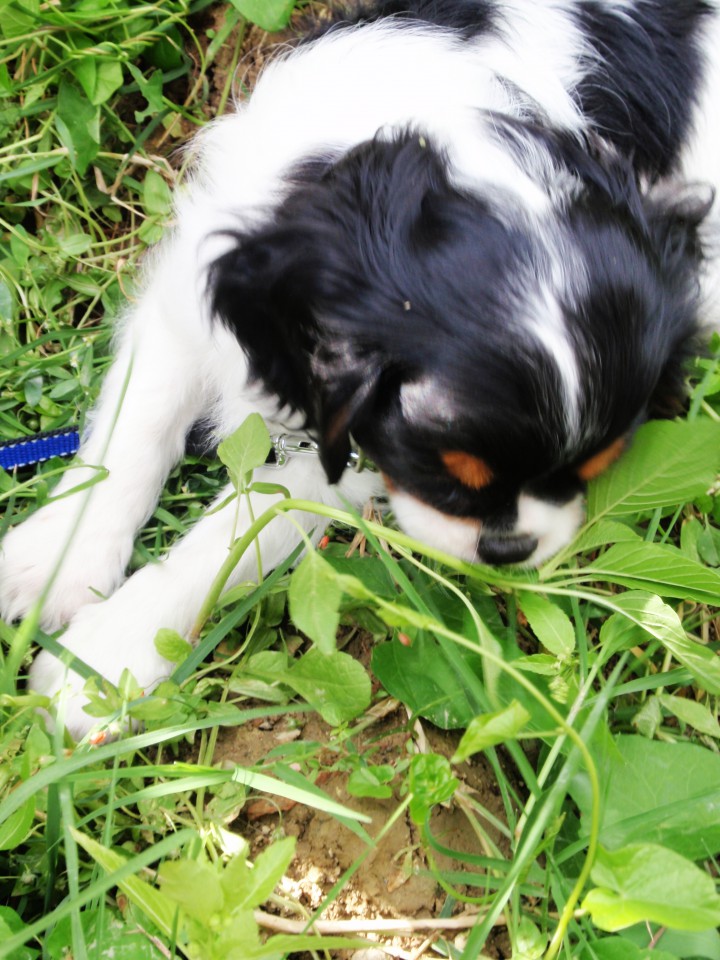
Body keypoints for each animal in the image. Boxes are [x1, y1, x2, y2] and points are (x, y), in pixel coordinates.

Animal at [1, 0, 720, 736]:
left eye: (593, 471)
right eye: (444, 474)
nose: (511, 549)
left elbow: (245, 528)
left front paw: (105, 657)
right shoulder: (188, 303)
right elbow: (132, 436)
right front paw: (55, 562)